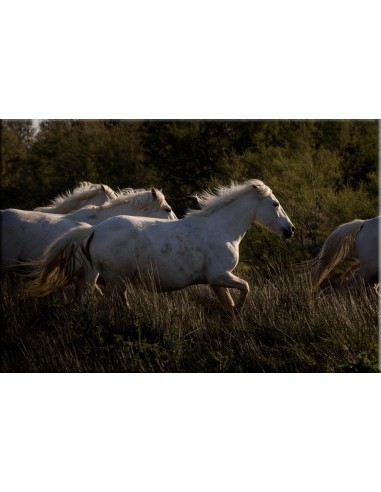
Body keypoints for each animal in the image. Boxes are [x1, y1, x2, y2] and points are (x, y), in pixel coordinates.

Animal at [23, 180, 296, 312]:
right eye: (275, 204)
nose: (290, 230)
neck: (221, 230)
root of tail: (94, 229)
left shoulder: (216, 281)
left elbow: (228, 303)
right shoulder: (221, 275)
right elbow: (246, 288)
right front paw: (238, 310)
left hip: (111, 281)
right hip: (115, 280)